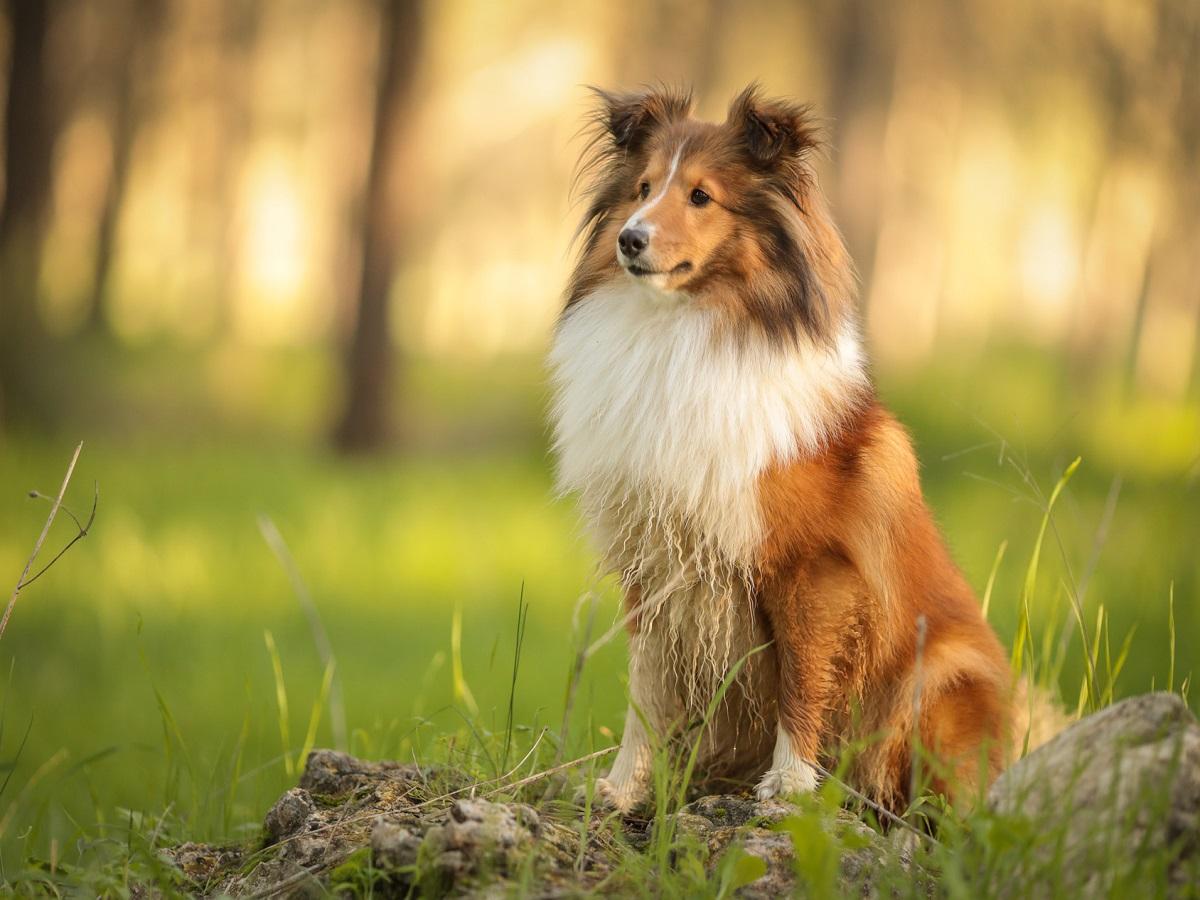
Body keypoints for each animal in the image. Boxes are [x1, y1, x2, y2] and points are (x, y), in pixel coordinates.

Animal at [552, 86, 1051, 816]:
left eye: (701, 196)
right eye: (643, 188)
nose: (629, 239)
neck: (688, 330)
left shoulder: (812, 569)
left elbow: (802, 674)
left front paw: (788, 783)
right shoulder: (654, 558)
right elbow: (648, 689)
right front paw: (621, 788)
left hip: (939, 675)